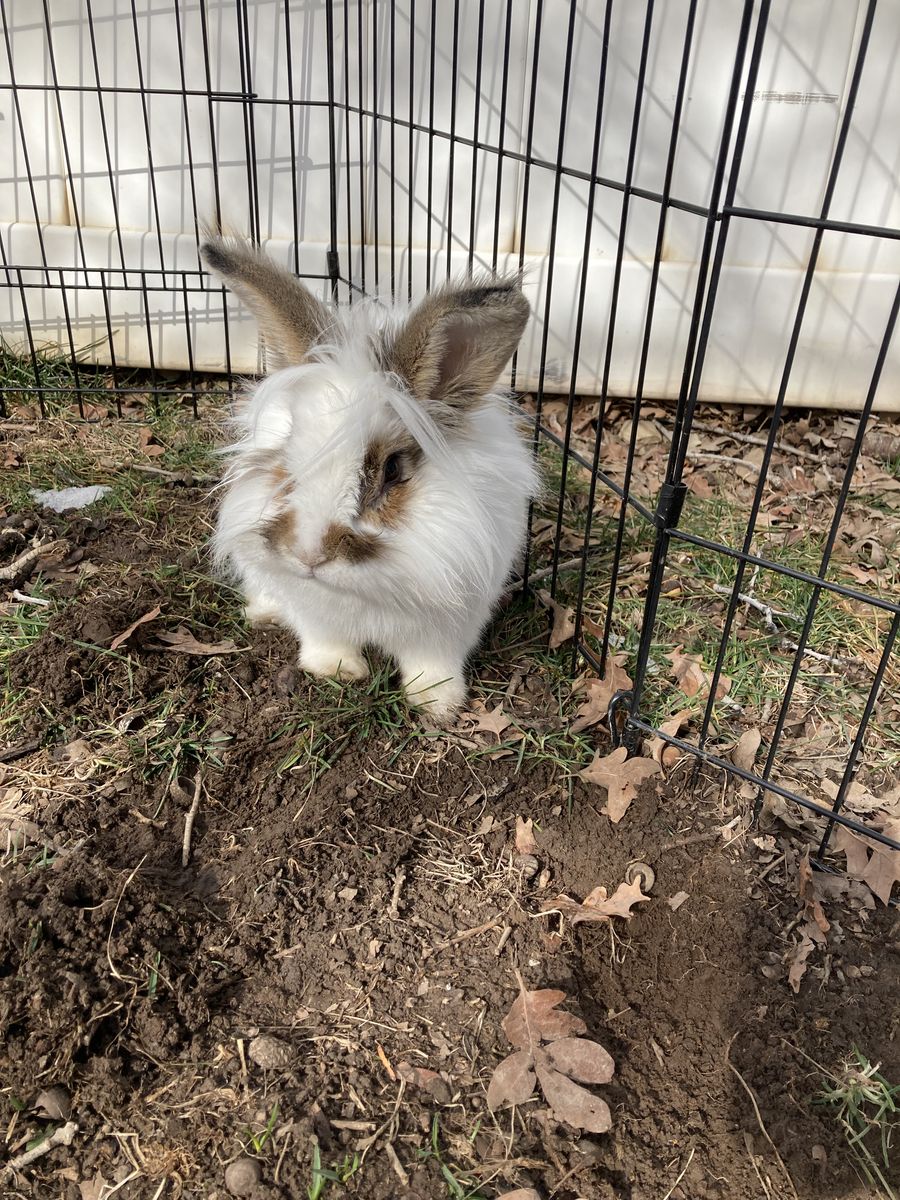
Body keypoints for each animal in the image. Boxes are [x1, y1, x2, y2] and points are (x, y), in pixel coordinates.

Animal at [201, 234, 539, 719]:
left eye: (393, 469)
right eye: (289, 447)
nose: (307, 555)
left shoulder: (450, 624)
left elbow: (433, 663)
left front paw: (437, 703)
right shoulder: (315, 613)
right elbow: (324, 640)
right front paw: (338, 670)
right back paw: (263, 613)